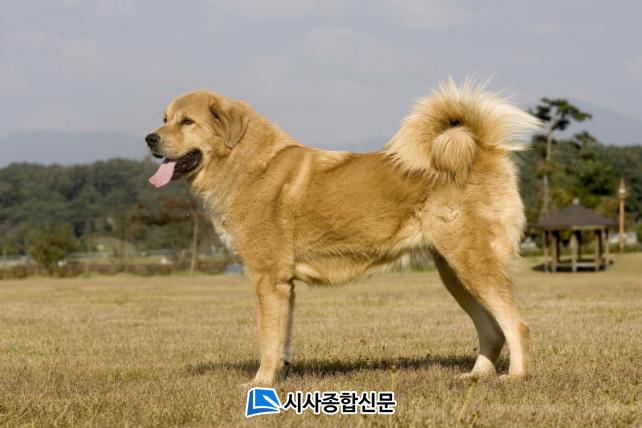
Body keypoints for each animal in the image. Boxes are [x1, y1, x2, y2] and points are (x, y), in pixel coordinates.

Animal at [145, 80, 540, 385]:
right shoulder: (284, 286)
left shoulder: (268, 280)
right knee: (492, 330)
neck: (245, 164)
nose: (149, 138)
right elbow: (282, 340)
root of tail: (481, 147)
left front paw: (260, 382)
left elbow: (267, 341)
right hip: (455, 273)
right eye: (165, 119)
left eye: (187, 121)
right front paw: (279, 378)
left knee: (517, 325)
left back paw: (515, 377)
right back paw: (476, 376)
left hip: (472, 264)